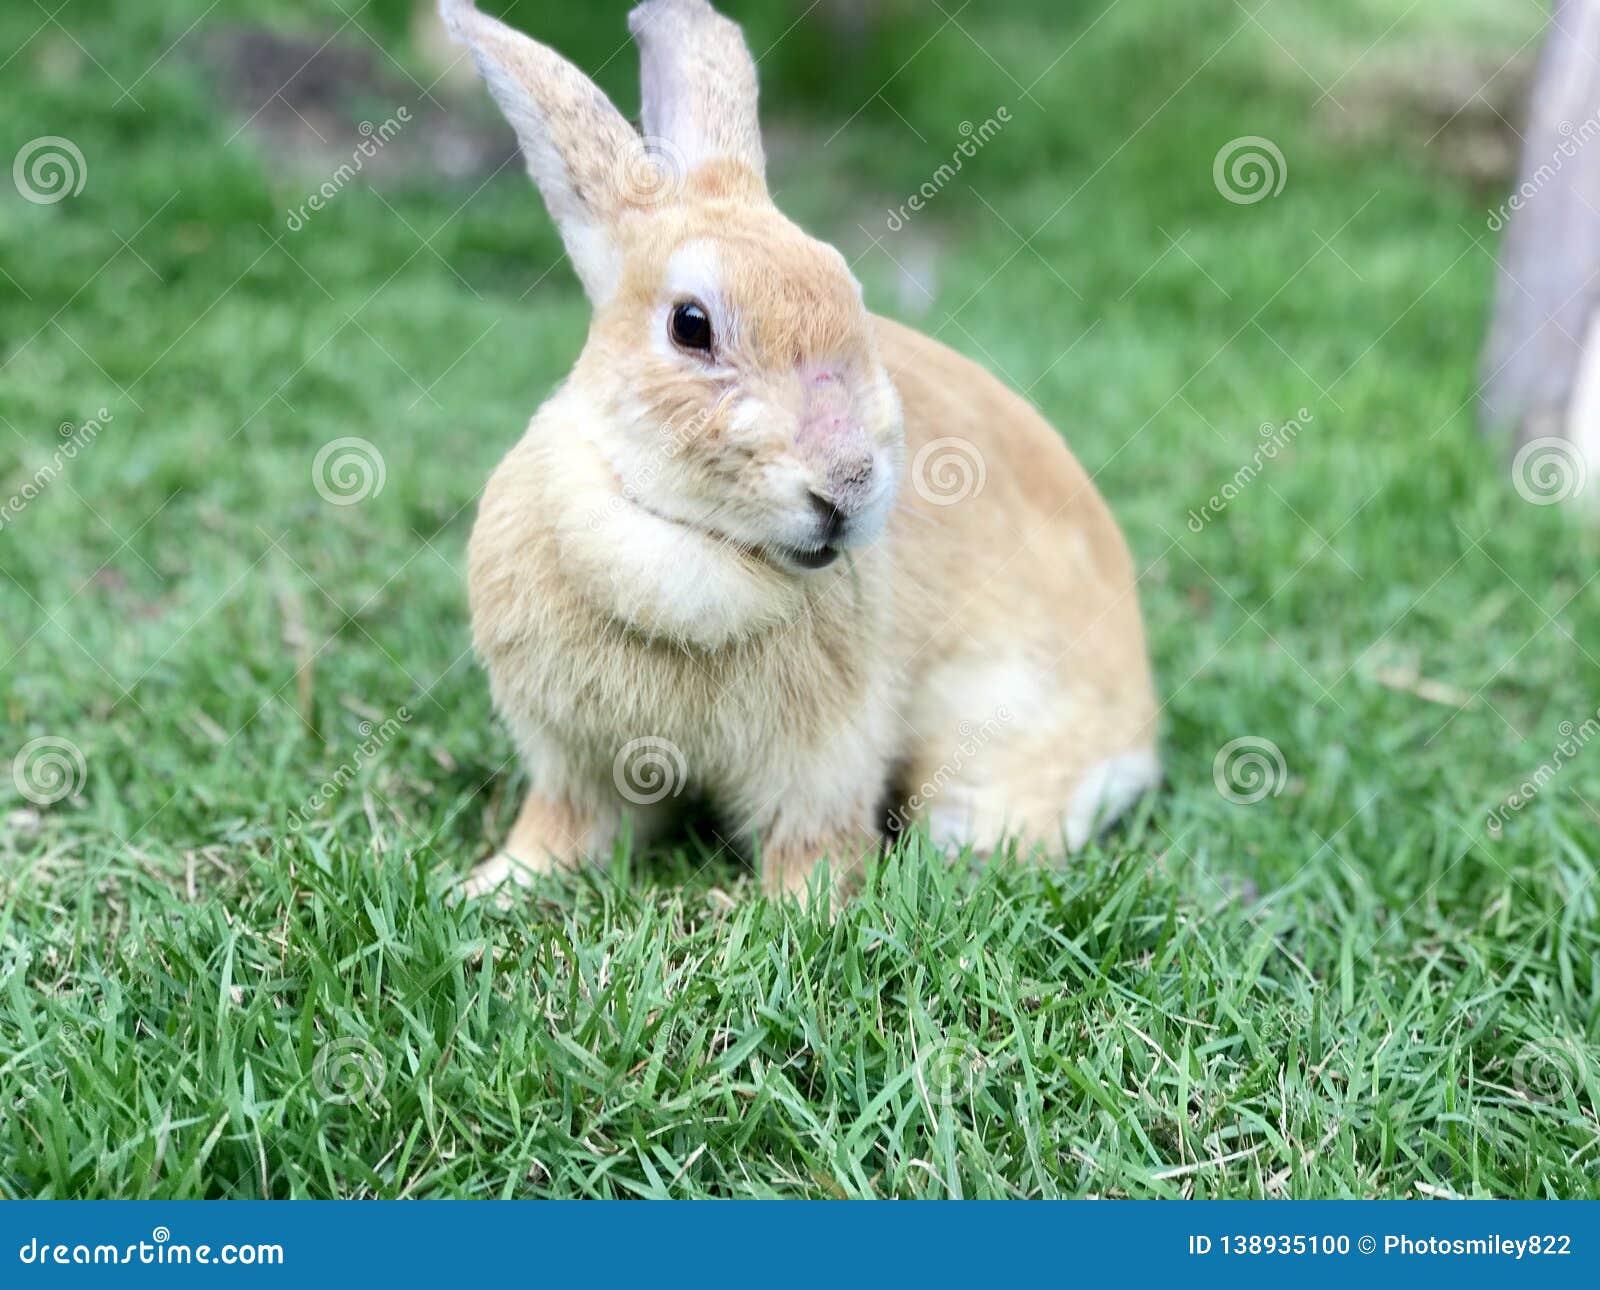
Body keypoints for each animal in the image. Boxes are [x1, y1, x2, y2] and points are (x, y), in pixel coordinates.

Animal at [441, 0, 1160, 904]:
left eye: (851, 296)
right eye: (691, 325)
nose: (846, 488)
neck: (687, 538)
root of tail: (1140, 733)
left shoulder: (822, 759)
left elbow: (812, 845)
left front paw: (778, 911)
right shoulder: (573, 757)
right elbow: (565, 828)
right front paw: (491, 885)